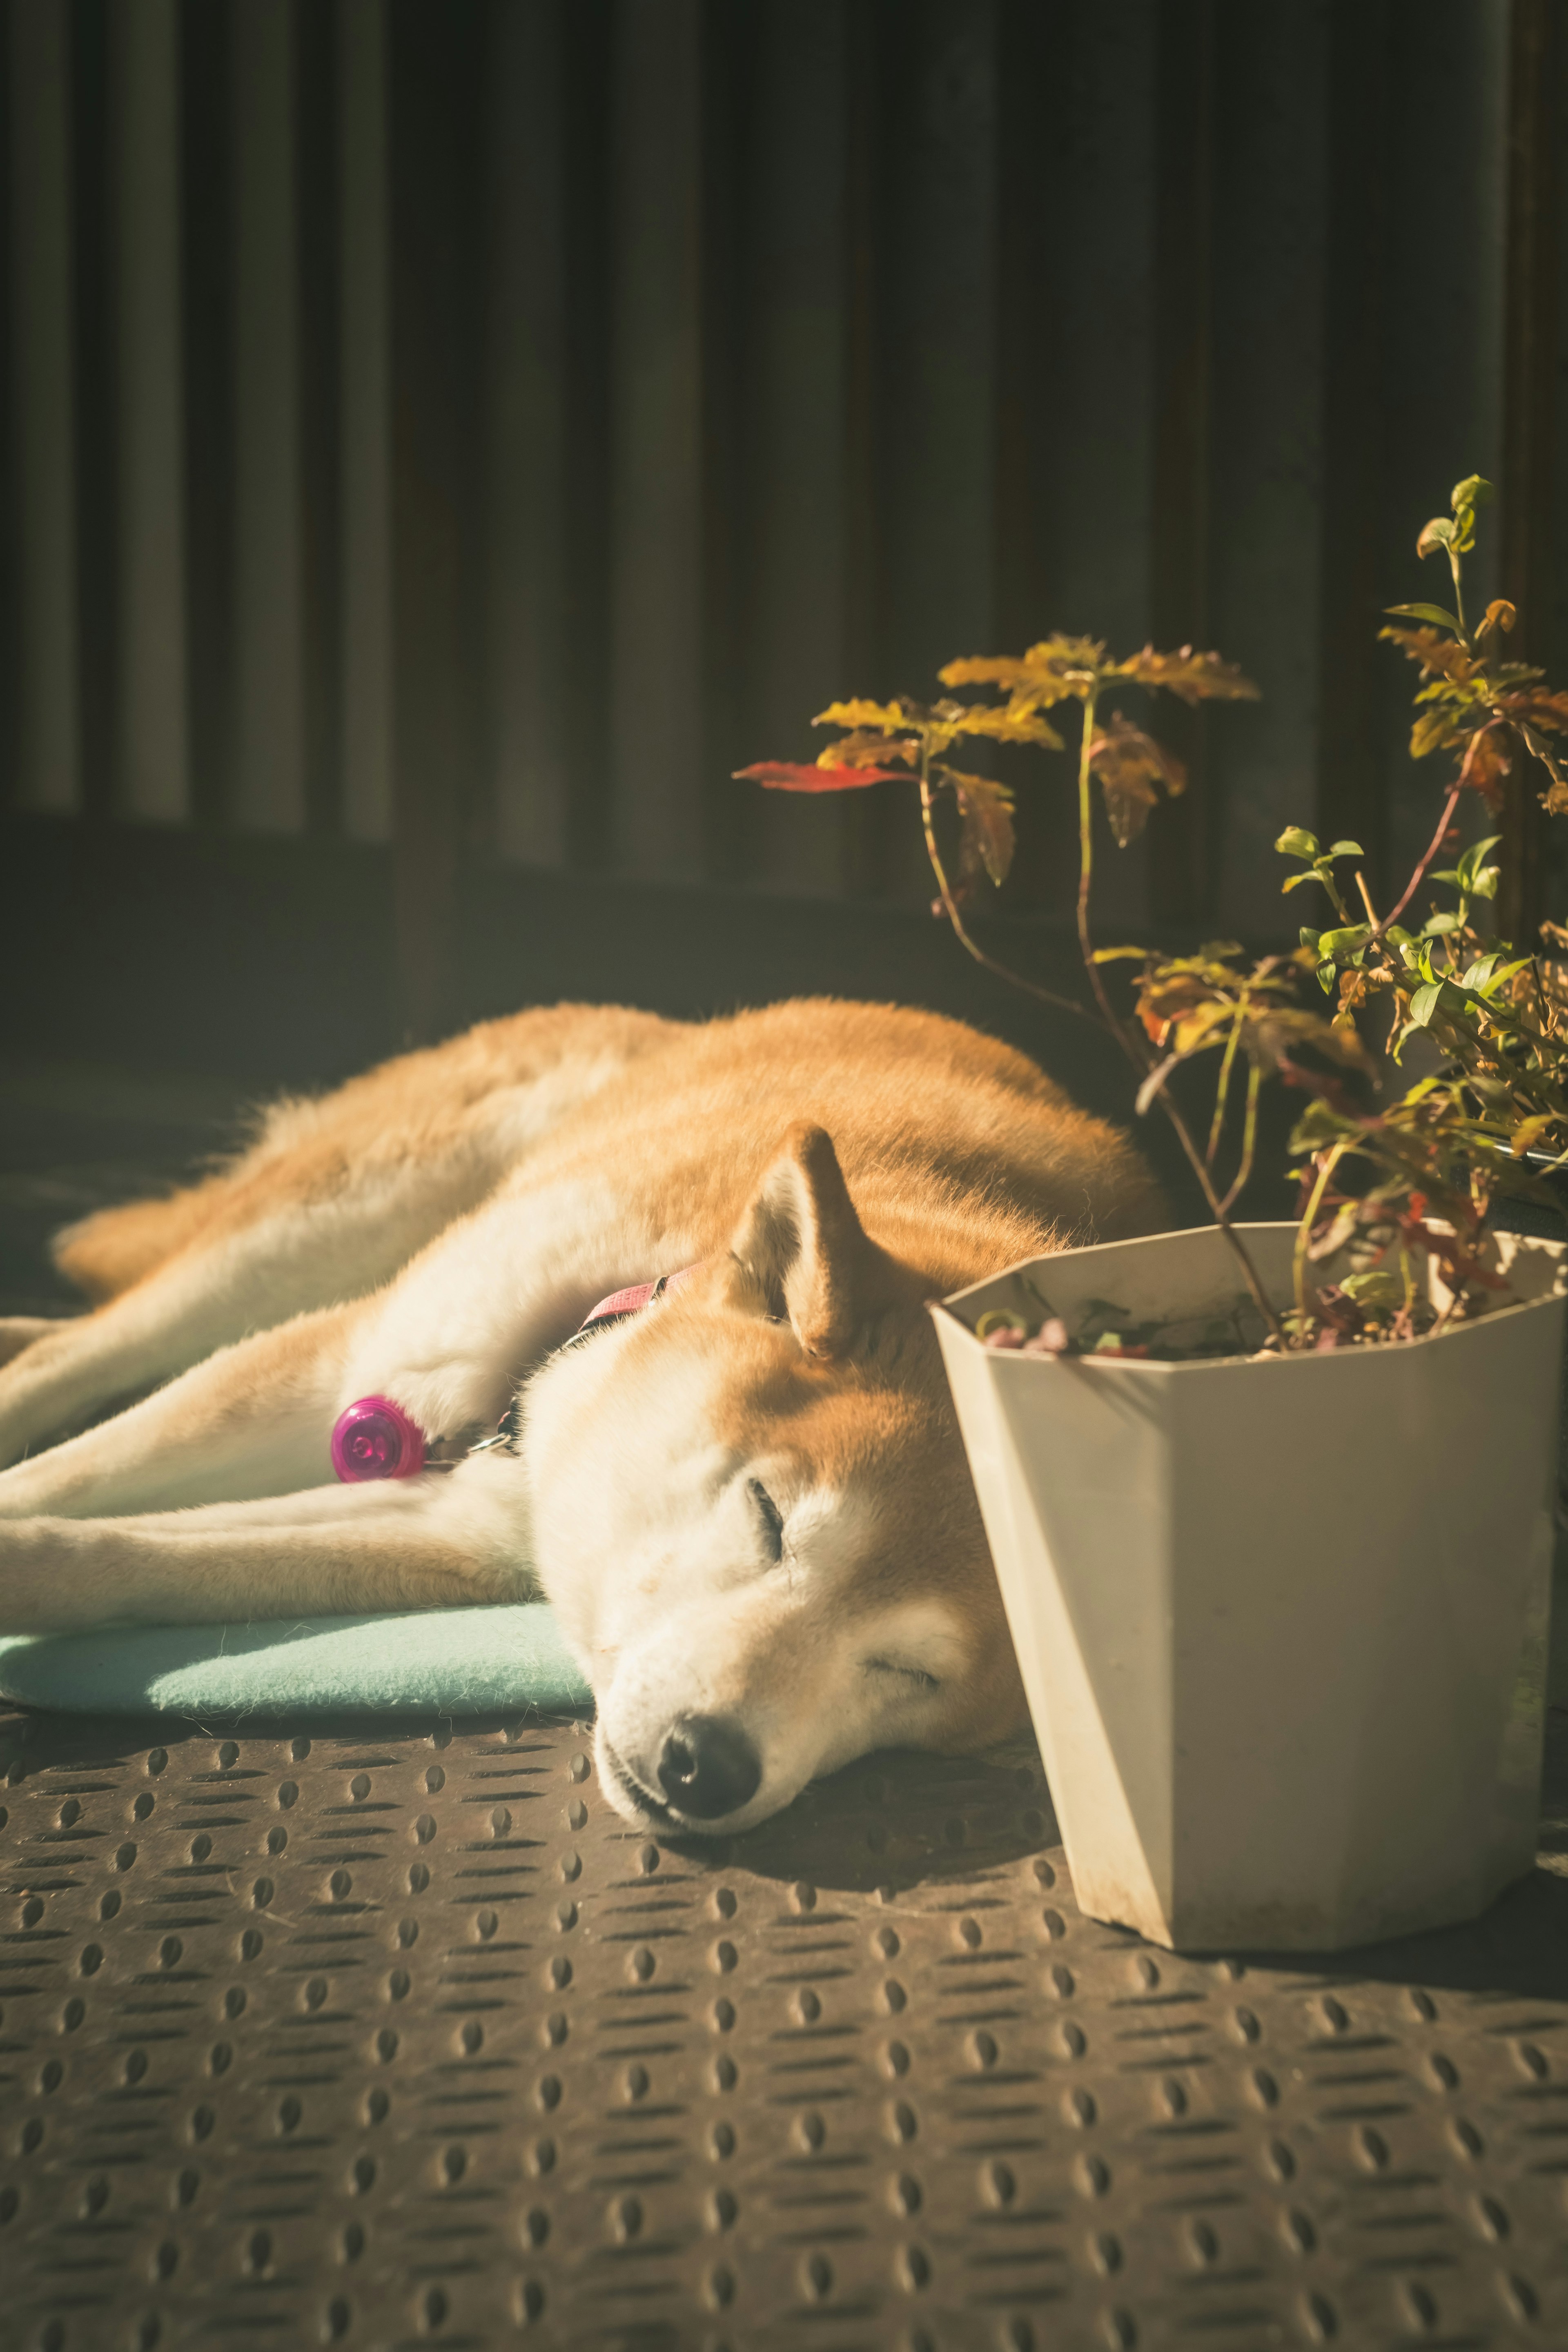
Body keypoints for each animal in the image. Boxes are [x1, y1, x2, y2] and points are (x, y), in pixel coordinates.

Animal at [0, 1002, 1166, 1825]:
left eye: (910, 1673)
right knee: (89, 1346)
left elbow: (125, 1558)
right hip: (331, 1225)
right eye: (768, 1519)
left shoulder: (460, 1526)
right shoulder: (353, 1371)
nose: (708, 1765)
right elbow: (67, 1479)